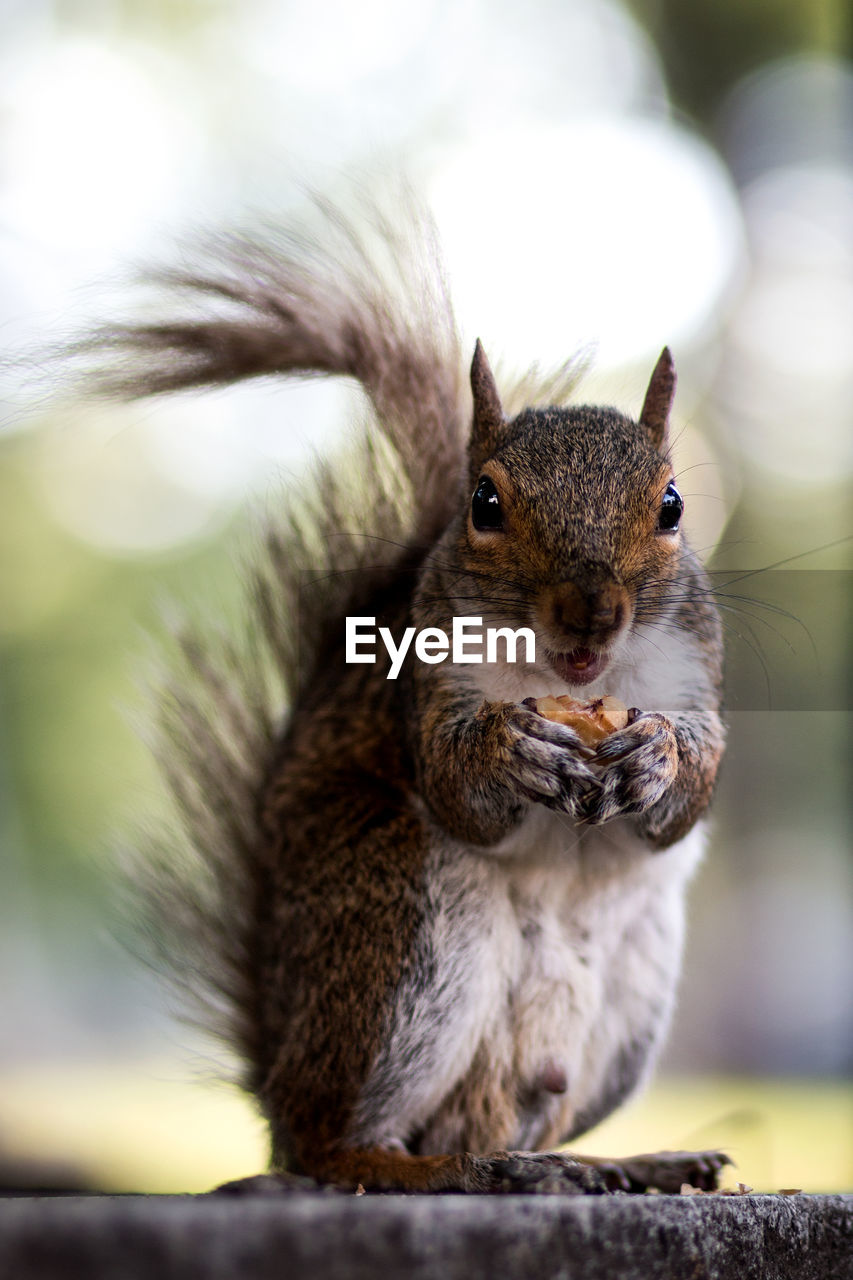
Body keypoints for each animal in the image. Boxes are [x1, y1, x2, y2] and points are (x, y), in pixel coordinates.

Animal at [97, 192, 722, 1198]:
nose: (591, 614)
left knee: (516, 1127)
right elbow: (455, 783)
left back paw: (615, 1162)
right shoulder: (424, 685)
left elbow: (688, 795)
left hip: (625, 1011)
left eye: (670, 505)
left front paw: (657, 755)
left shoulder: (696, 669)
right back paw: (445, 1170)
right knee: (334, 1144)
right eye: (485, 504)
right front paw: (508, 750)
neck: (565, 681)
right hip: (395, 915)